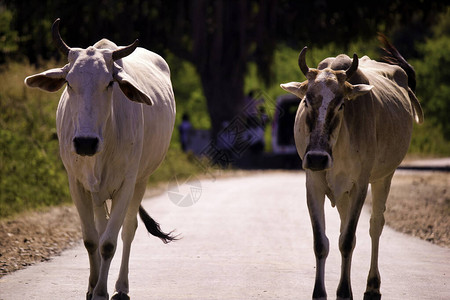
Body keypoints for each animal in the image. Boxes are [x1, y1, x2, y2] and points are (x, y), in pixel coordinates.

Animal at [24, 19, 176, 300]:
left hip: (141, 180)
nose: (85, 142)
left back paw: (121, 286)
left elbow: (109, 243)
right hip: (97, 191)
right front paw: (92, 286)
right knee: (101, 226)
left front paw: (102, 291)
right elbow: (91, 239)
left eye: (109, 83)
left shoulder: (127, 184)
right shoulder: (77, 184)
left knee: (127, 231)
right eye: (69, 82)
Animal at [280, 37, 424, 300]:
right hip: (342, 192)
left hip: (384, 178)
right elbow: (322, 242)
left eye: (341, 104)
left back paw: (372, 285)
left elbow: (347, 240)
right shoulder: (313, 184)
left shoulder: (360, 185)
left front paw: (345, 291)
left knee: (375, 225)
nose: (317, 159)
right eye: (306, 100)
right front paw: (320, 292)